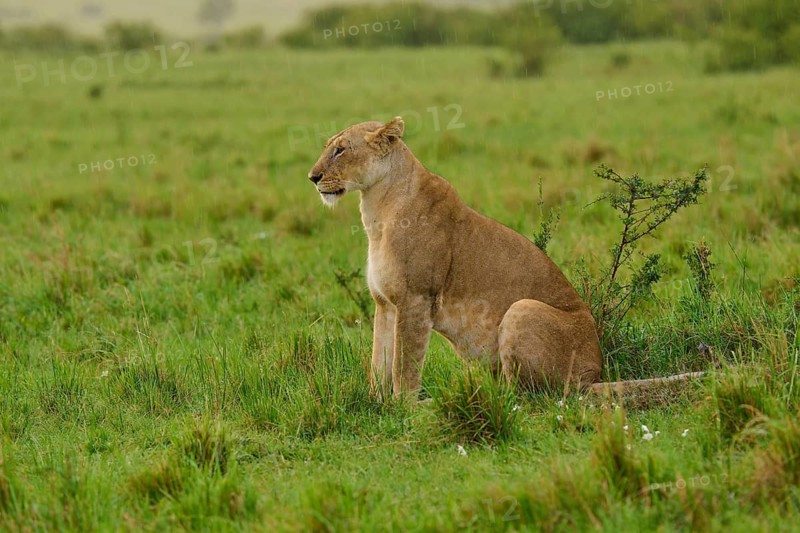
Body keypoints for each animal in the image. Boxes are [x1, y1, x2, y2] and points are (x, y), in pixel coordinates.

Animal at [308, 117, 702, 399]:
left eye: (341, 150)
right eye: (329, 148)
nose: (313, 177)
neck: (376, 210)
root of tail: (594, 374)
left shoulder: (415, 299)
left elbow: (404, 365)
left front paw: (405, 409)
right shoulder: (385, 303)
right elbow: (379, 361)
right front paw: (377, 404)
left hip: (522, 310)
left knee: (529, 398)